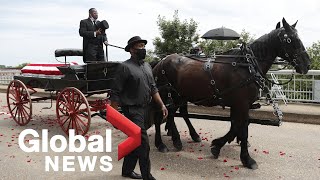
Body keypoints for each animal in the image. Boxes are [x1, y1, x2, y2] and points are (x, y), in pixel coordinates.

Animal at [152, 19, 310, 169]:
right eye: (290, 39)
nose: (307, 64)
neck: (247, 66)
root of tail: (161, 61)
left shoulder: (238, 104)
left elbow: (235, 125)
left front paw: (217, 146)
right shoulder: (242, 104)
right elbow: (242, 128)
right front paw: (247, 159)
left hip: (178, 96)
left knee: (173, 113)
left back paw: (179, 139)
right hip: (165, 93)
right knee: (161, 115)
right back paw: (161, 144)